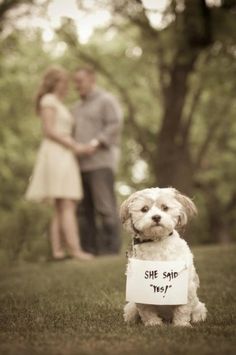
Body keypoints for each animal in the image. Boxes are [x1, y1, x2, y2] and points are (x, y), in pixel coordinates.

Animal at [121, 189, 207, 328]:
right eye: (144, 209)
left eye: (165, 208)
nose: (156, 217)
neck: (157, 241)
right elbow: (147, 310)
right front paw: (153, 323)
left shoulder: (185, 287)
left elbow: (182, 309)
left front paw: (181, 325)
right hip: (130, 308)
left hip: (199, 308)